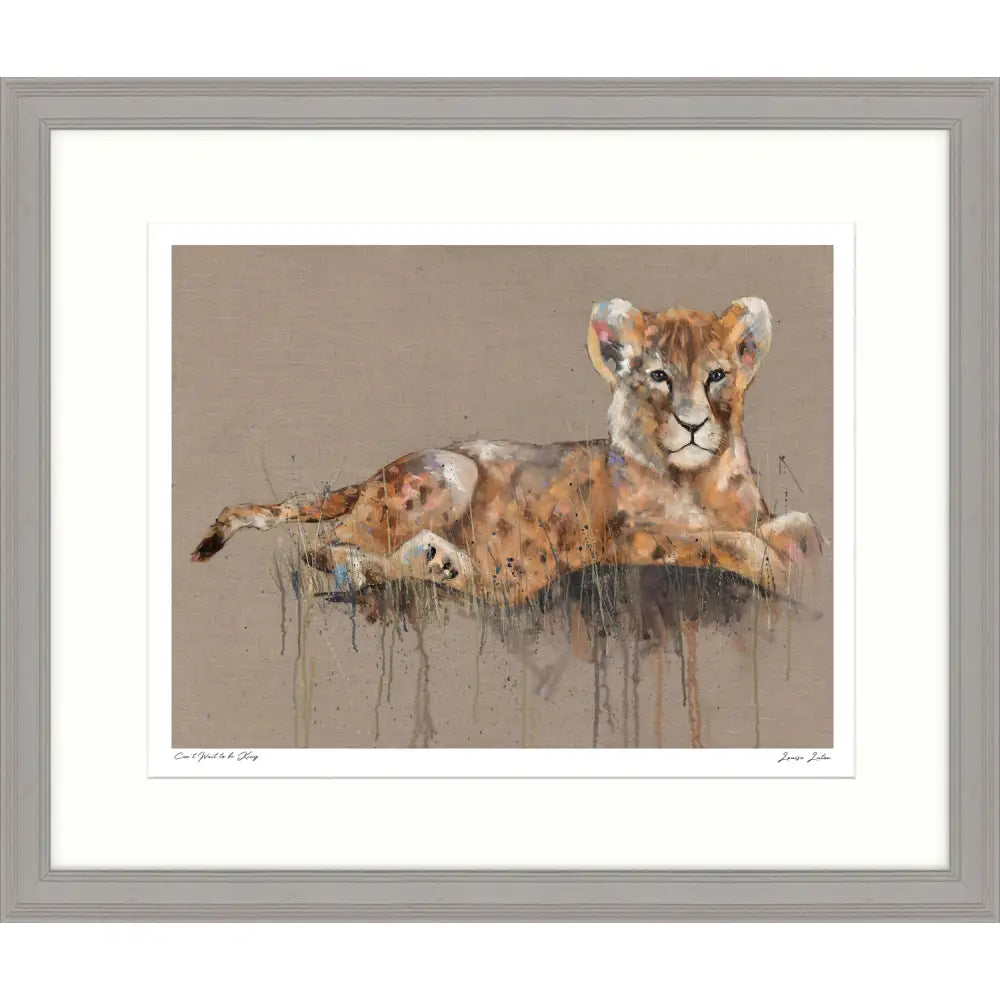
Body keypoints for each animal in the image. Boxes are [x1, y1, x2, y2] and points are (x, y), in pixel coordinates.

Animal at [192, 296, 821, 606]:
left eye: (717, 375)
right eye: (659, 376)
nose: (692, 424)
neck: (698, 479)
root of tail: (373, 474)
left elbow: (800, 525)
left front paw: (799, 550)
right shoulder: (625, 539)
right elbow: (727, 543)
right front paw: (778, 570)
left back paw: (447, 564)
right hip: (452, 469)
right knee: (326, 548)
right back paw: (422, 562)